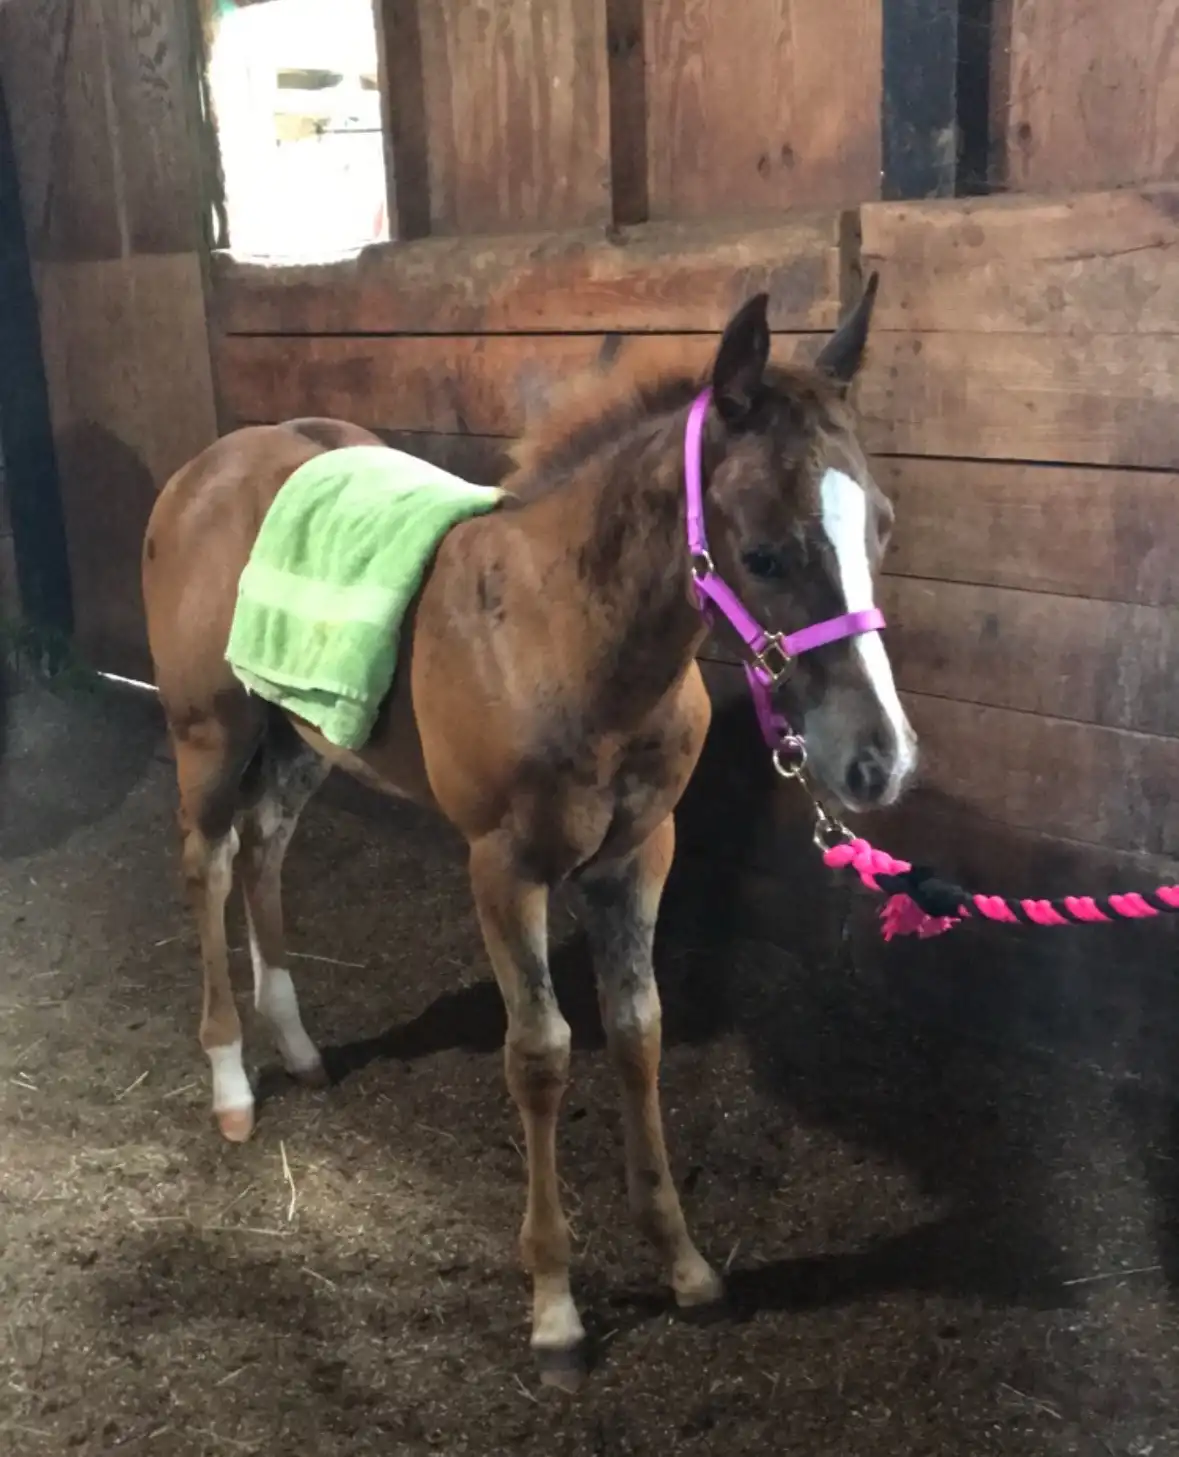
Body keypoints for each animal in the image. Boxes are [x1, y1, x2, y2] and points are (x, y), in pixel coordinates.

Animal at [141, 278, 917, 1388]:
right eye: (765, 550)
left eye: (881, 527)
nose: (878, 760)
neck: (565, 637)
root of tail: (202, 471)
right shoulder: (503, 867)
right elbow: (541, 1053)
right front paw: (554, 1310)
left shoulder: (639, 854)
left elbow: (638, 1029)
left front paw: (683, 1264)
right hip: (209, 730)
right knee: (208, 863)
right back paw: (232, 1084)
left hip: (305, 732)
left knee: (269, 842)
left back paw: (296, 1045)